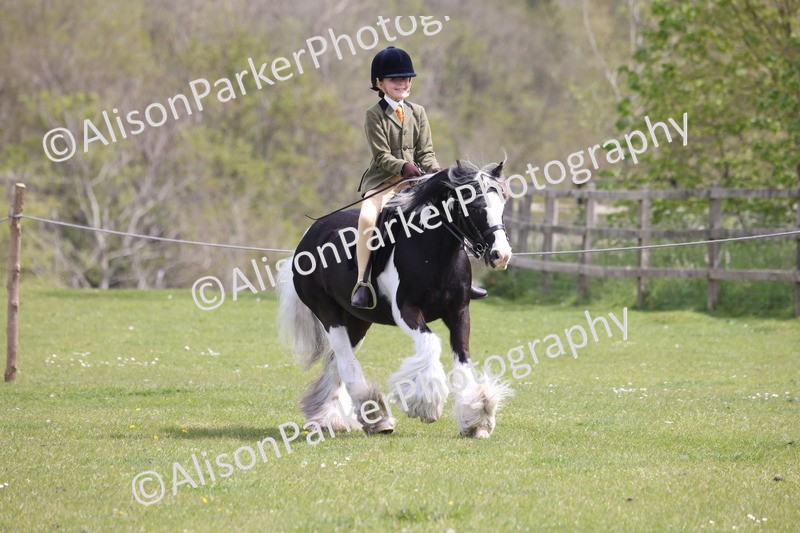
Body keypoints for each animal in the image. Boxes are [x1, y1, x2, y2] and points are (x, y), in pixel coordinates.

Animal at [277, 161, 513, 438]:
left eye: (502, 204)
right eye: (475, 207)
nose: (501, 255)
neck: (433, 253)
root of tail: (309, 235)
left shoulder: (459, 312)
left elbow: (463, 358)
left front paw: (476, 417)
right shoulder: (406, 311)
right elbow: (430, 343)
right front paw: (426, 403)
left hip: (356, 322)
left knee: (336, 363)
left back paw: (333, 418)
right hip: (329, 314)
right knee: (345, 362)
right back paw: (373, 416)